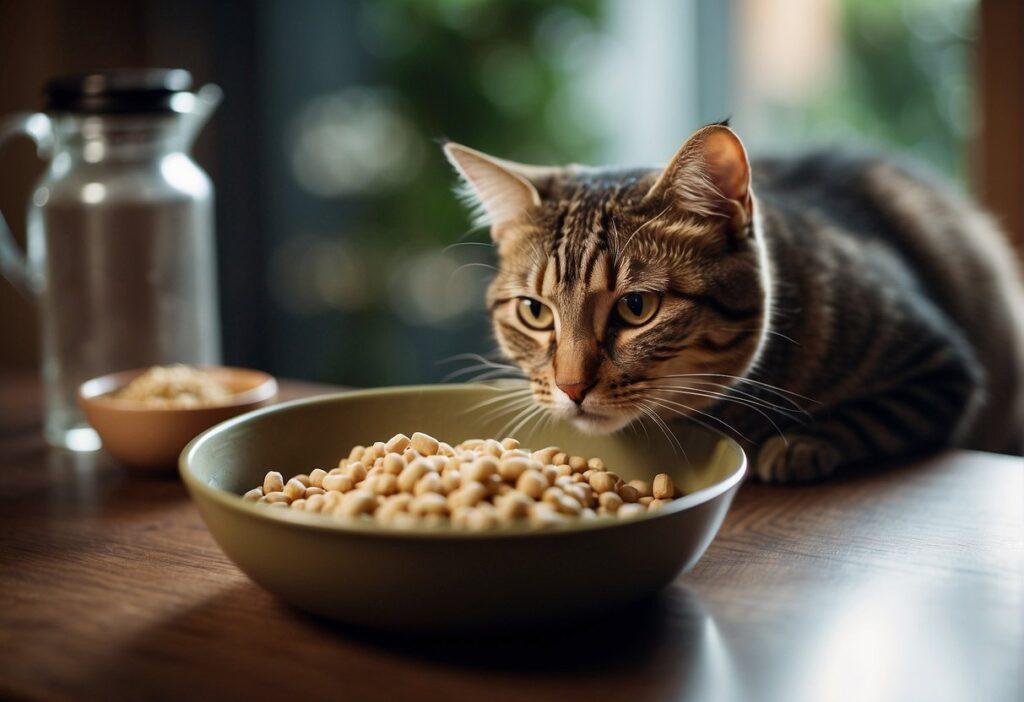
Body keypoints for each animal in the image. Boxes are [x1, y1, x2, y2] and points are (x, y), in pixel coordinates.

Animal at [444, 123, 1024, 480]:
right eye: (535, 312)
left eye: (636, 308)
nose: (570, 387)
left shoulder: (939, 366)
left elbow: (872, 418)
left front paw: (797, 446)